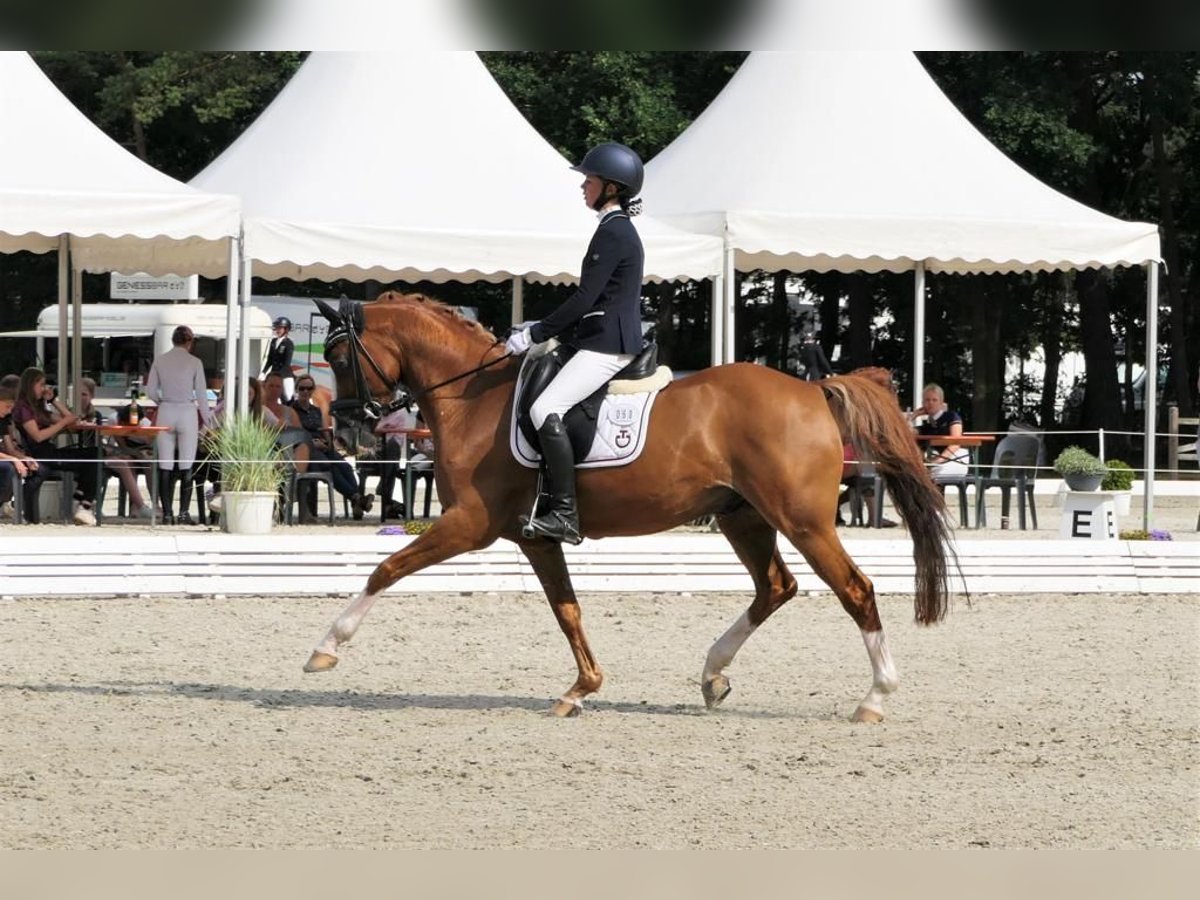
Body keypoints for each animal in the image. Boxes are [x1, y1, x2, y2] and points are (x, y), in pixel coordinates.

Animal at [307, 292, 955, 724]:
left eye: (338, 359)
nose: (352, 435)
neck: (475, 397)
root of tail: (813, 390)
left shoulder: (469, 525)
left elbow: (386, 568)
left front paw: (325, 649)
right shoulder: (535, 537)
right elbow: (567, 611)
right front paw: (580, 689)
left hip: (801, 520)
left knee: (855, 589)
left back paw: (874, 698)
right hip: (742, 515)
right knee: (775, 587)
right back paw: (712, 676)